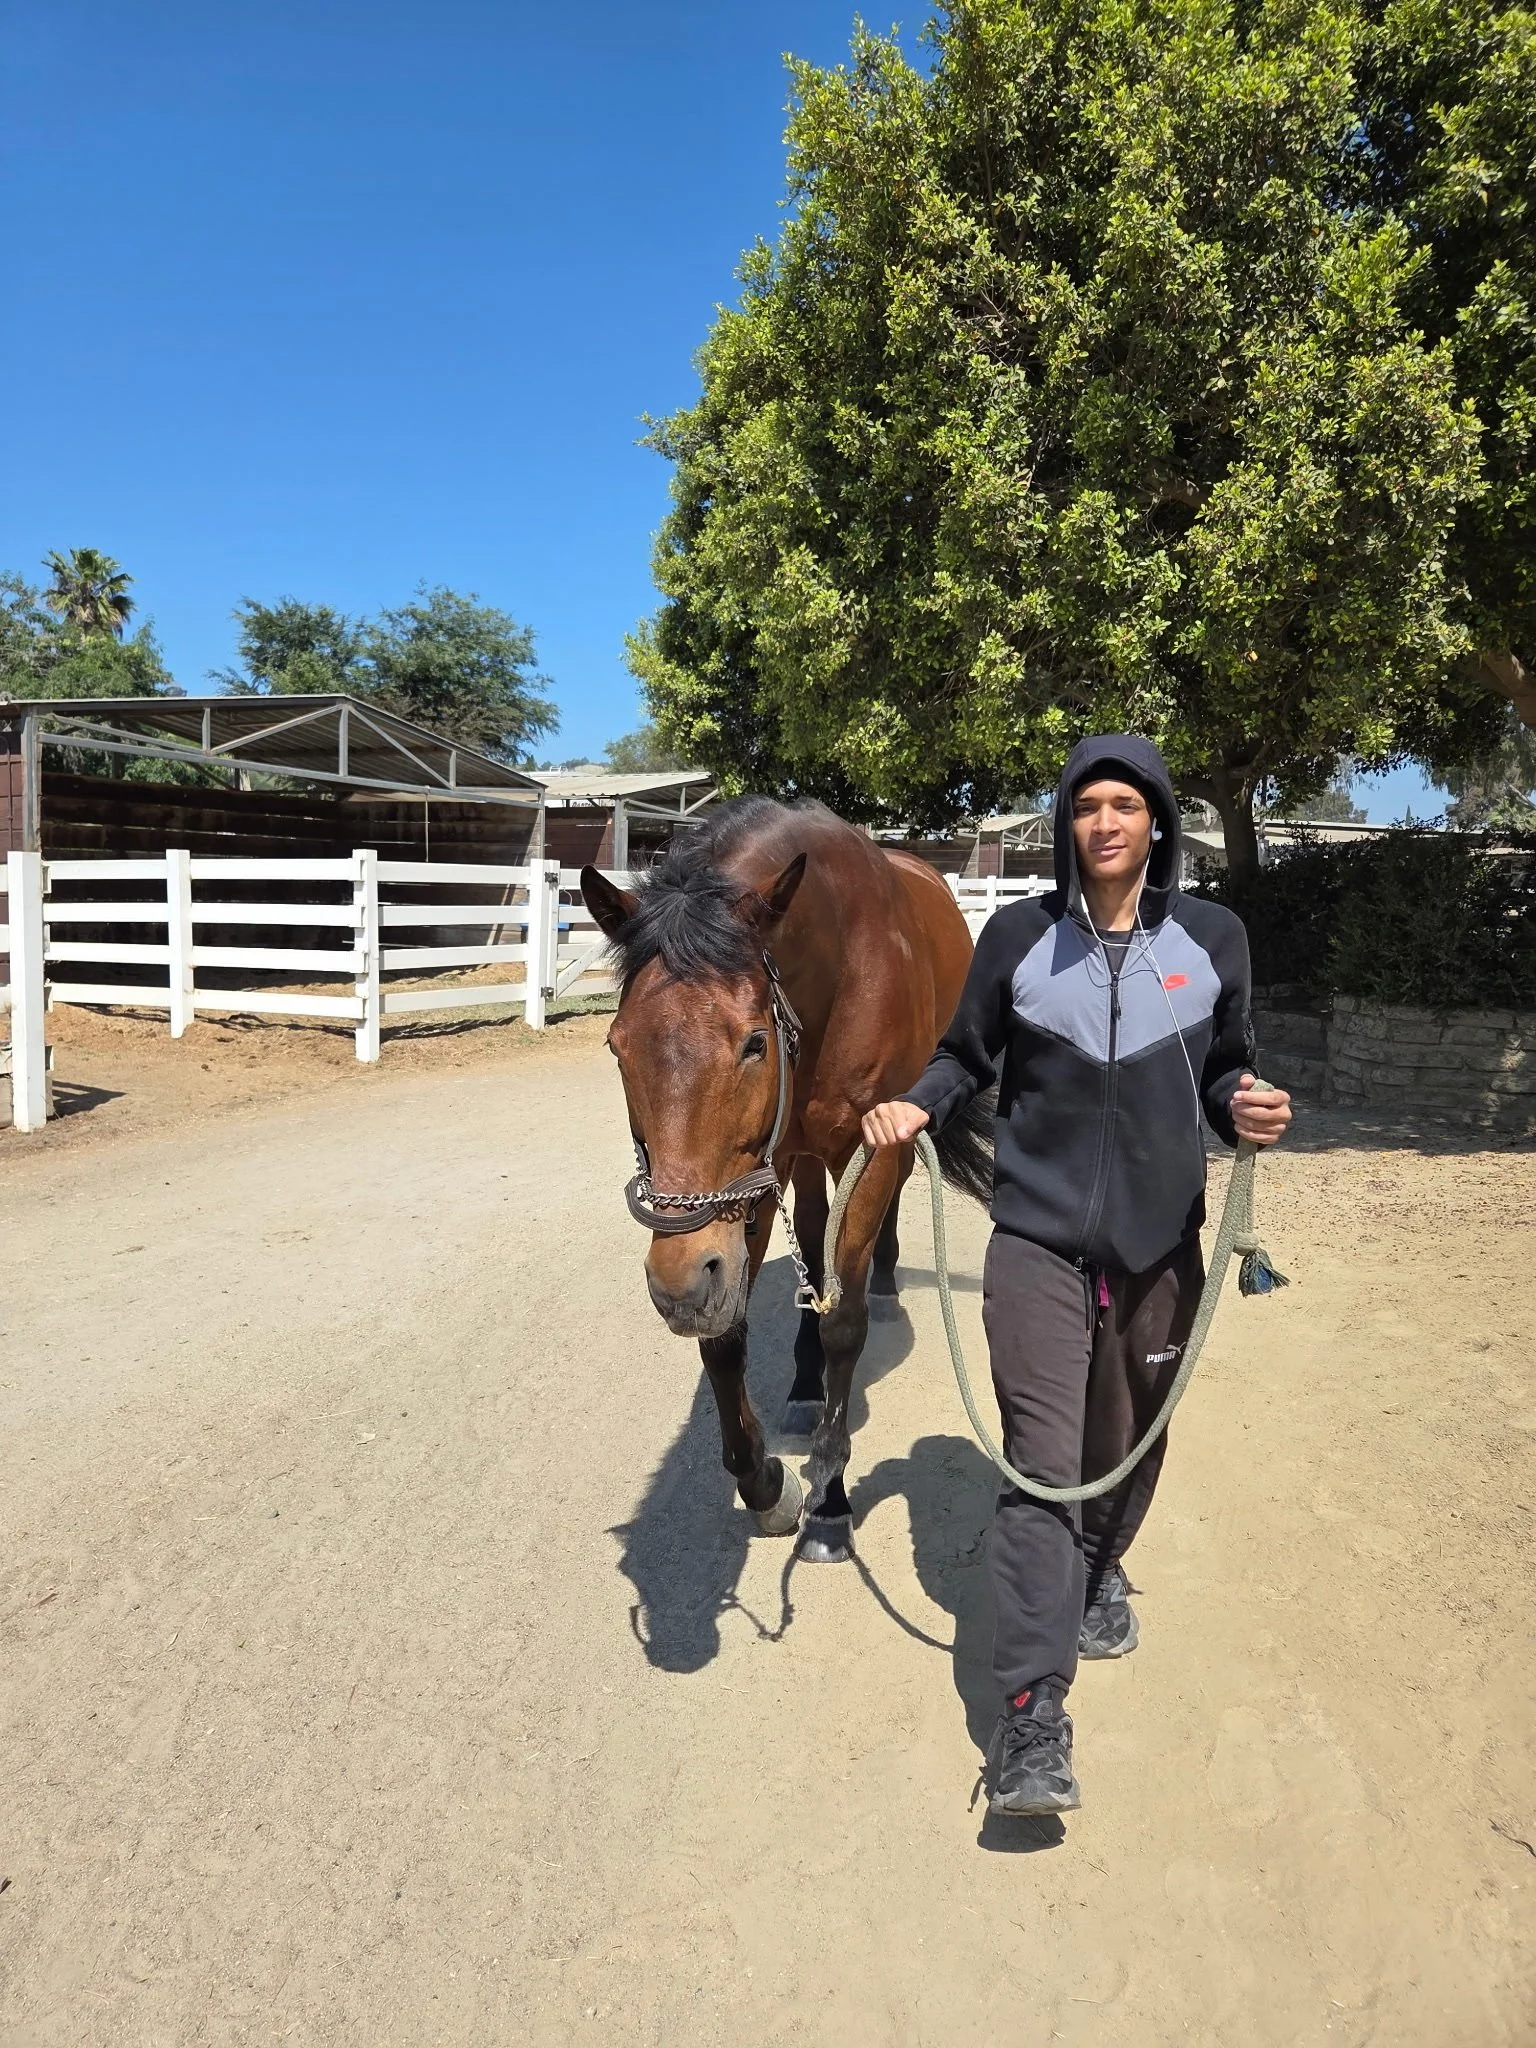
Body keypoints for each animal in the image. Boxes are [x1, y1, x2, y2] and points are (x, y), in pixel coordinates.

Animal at [580, 795, 986, 1562]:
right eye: (618, 1046)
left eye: (753, 1042)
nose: (678, 1286)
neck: (839, 967)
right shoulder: (748, 1182)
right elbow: (727, 1337)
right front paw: (767, 1485)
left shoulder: (869, 1148)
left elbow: (844, 1326)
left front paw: (828, 1503)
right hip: (793, 1159)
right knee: (813, 1239)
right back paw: (802, 1385)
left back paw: (884, 1284)